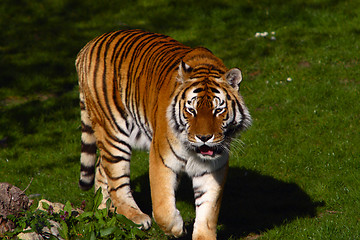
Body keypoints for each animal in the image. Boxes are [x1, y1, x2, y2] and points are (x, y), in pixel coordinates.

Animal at [75, 29, 252, 239]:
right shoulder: (161, 158)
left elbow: (208, 210)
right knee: (117, 181)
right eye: (191, 110)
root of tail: (89, 45)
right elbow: (162, 208)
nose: (204, 138)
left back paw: (103, 211)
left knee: (102, 168)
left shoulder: (212, 167)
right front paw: (177, 228)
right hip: (113, 131)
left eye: (218, 110)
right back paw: (135, 217)